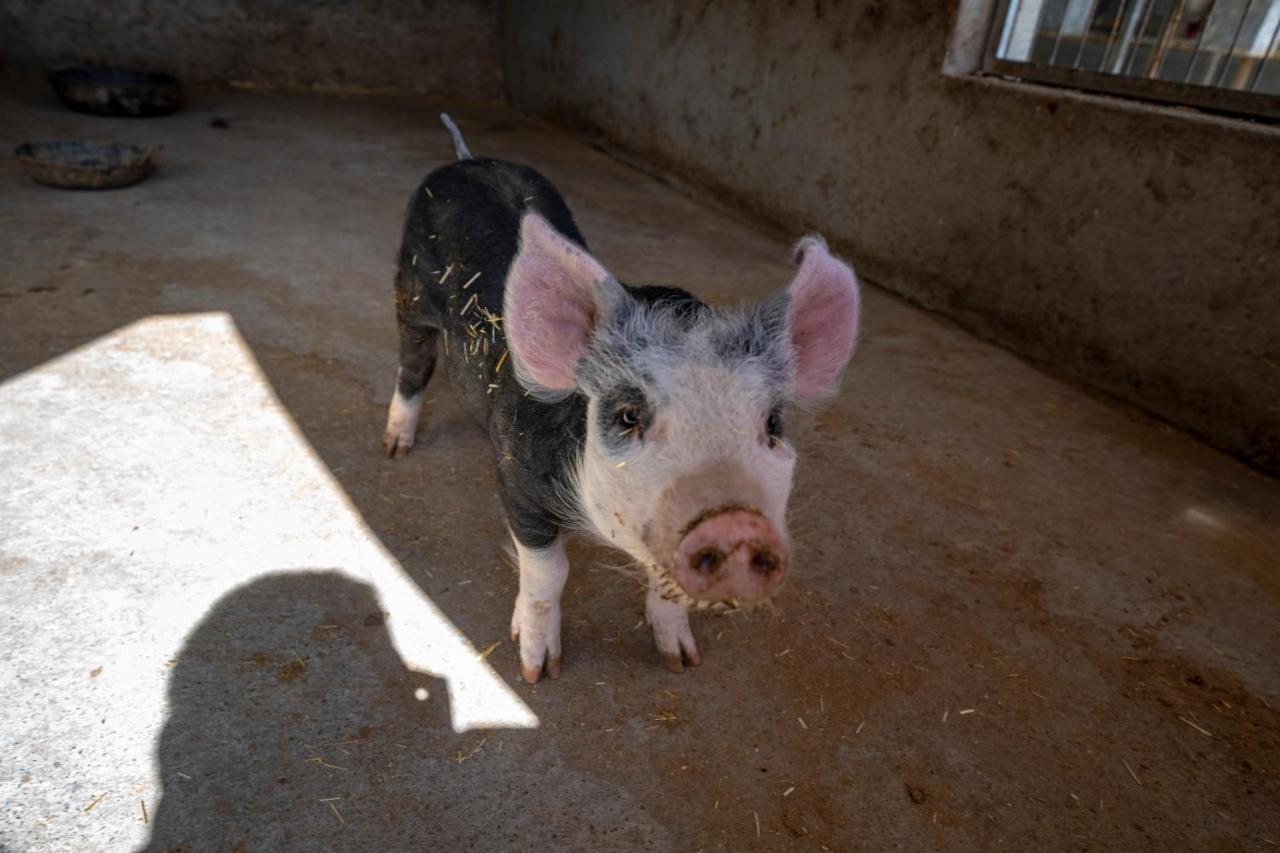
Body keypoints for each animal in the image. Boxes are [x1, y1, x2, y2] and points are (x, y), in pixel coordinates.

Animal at [378, 114, 860, 686]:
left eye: (772, 424)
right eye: (629, 415)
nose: (735, 524)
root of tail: (467, 159)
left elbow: (665, 592)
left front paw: (681, 661)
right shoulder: (518, 480)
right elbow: (549, 572)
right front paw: (537, 672)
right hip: (409, 294)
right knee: (413, 366)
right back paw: (394, 449)